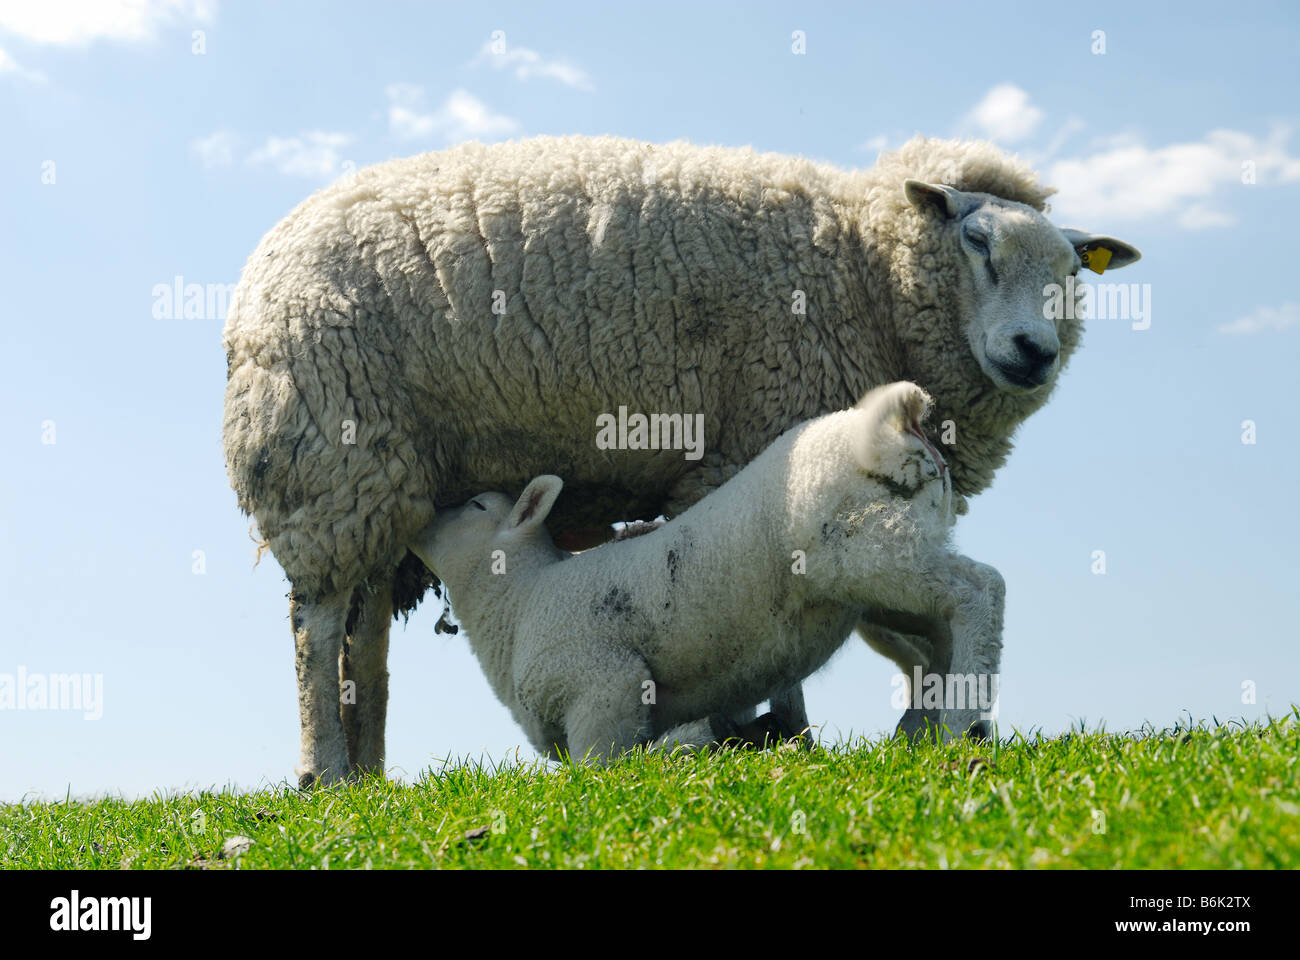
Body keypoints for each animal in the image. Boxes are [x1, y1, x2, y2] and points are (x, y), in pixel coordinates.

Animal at [410, 377, 998, 759]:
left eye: (477, 506)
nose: (423, 517)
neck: (518, 602)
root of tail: (899, 425)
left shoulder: (604, 687)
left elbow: (599, 769)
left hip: (866, 544)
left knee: (978, 590)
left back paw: (962, 725)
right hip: (882, 565)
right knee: (939, 634)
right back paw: (925, 727)